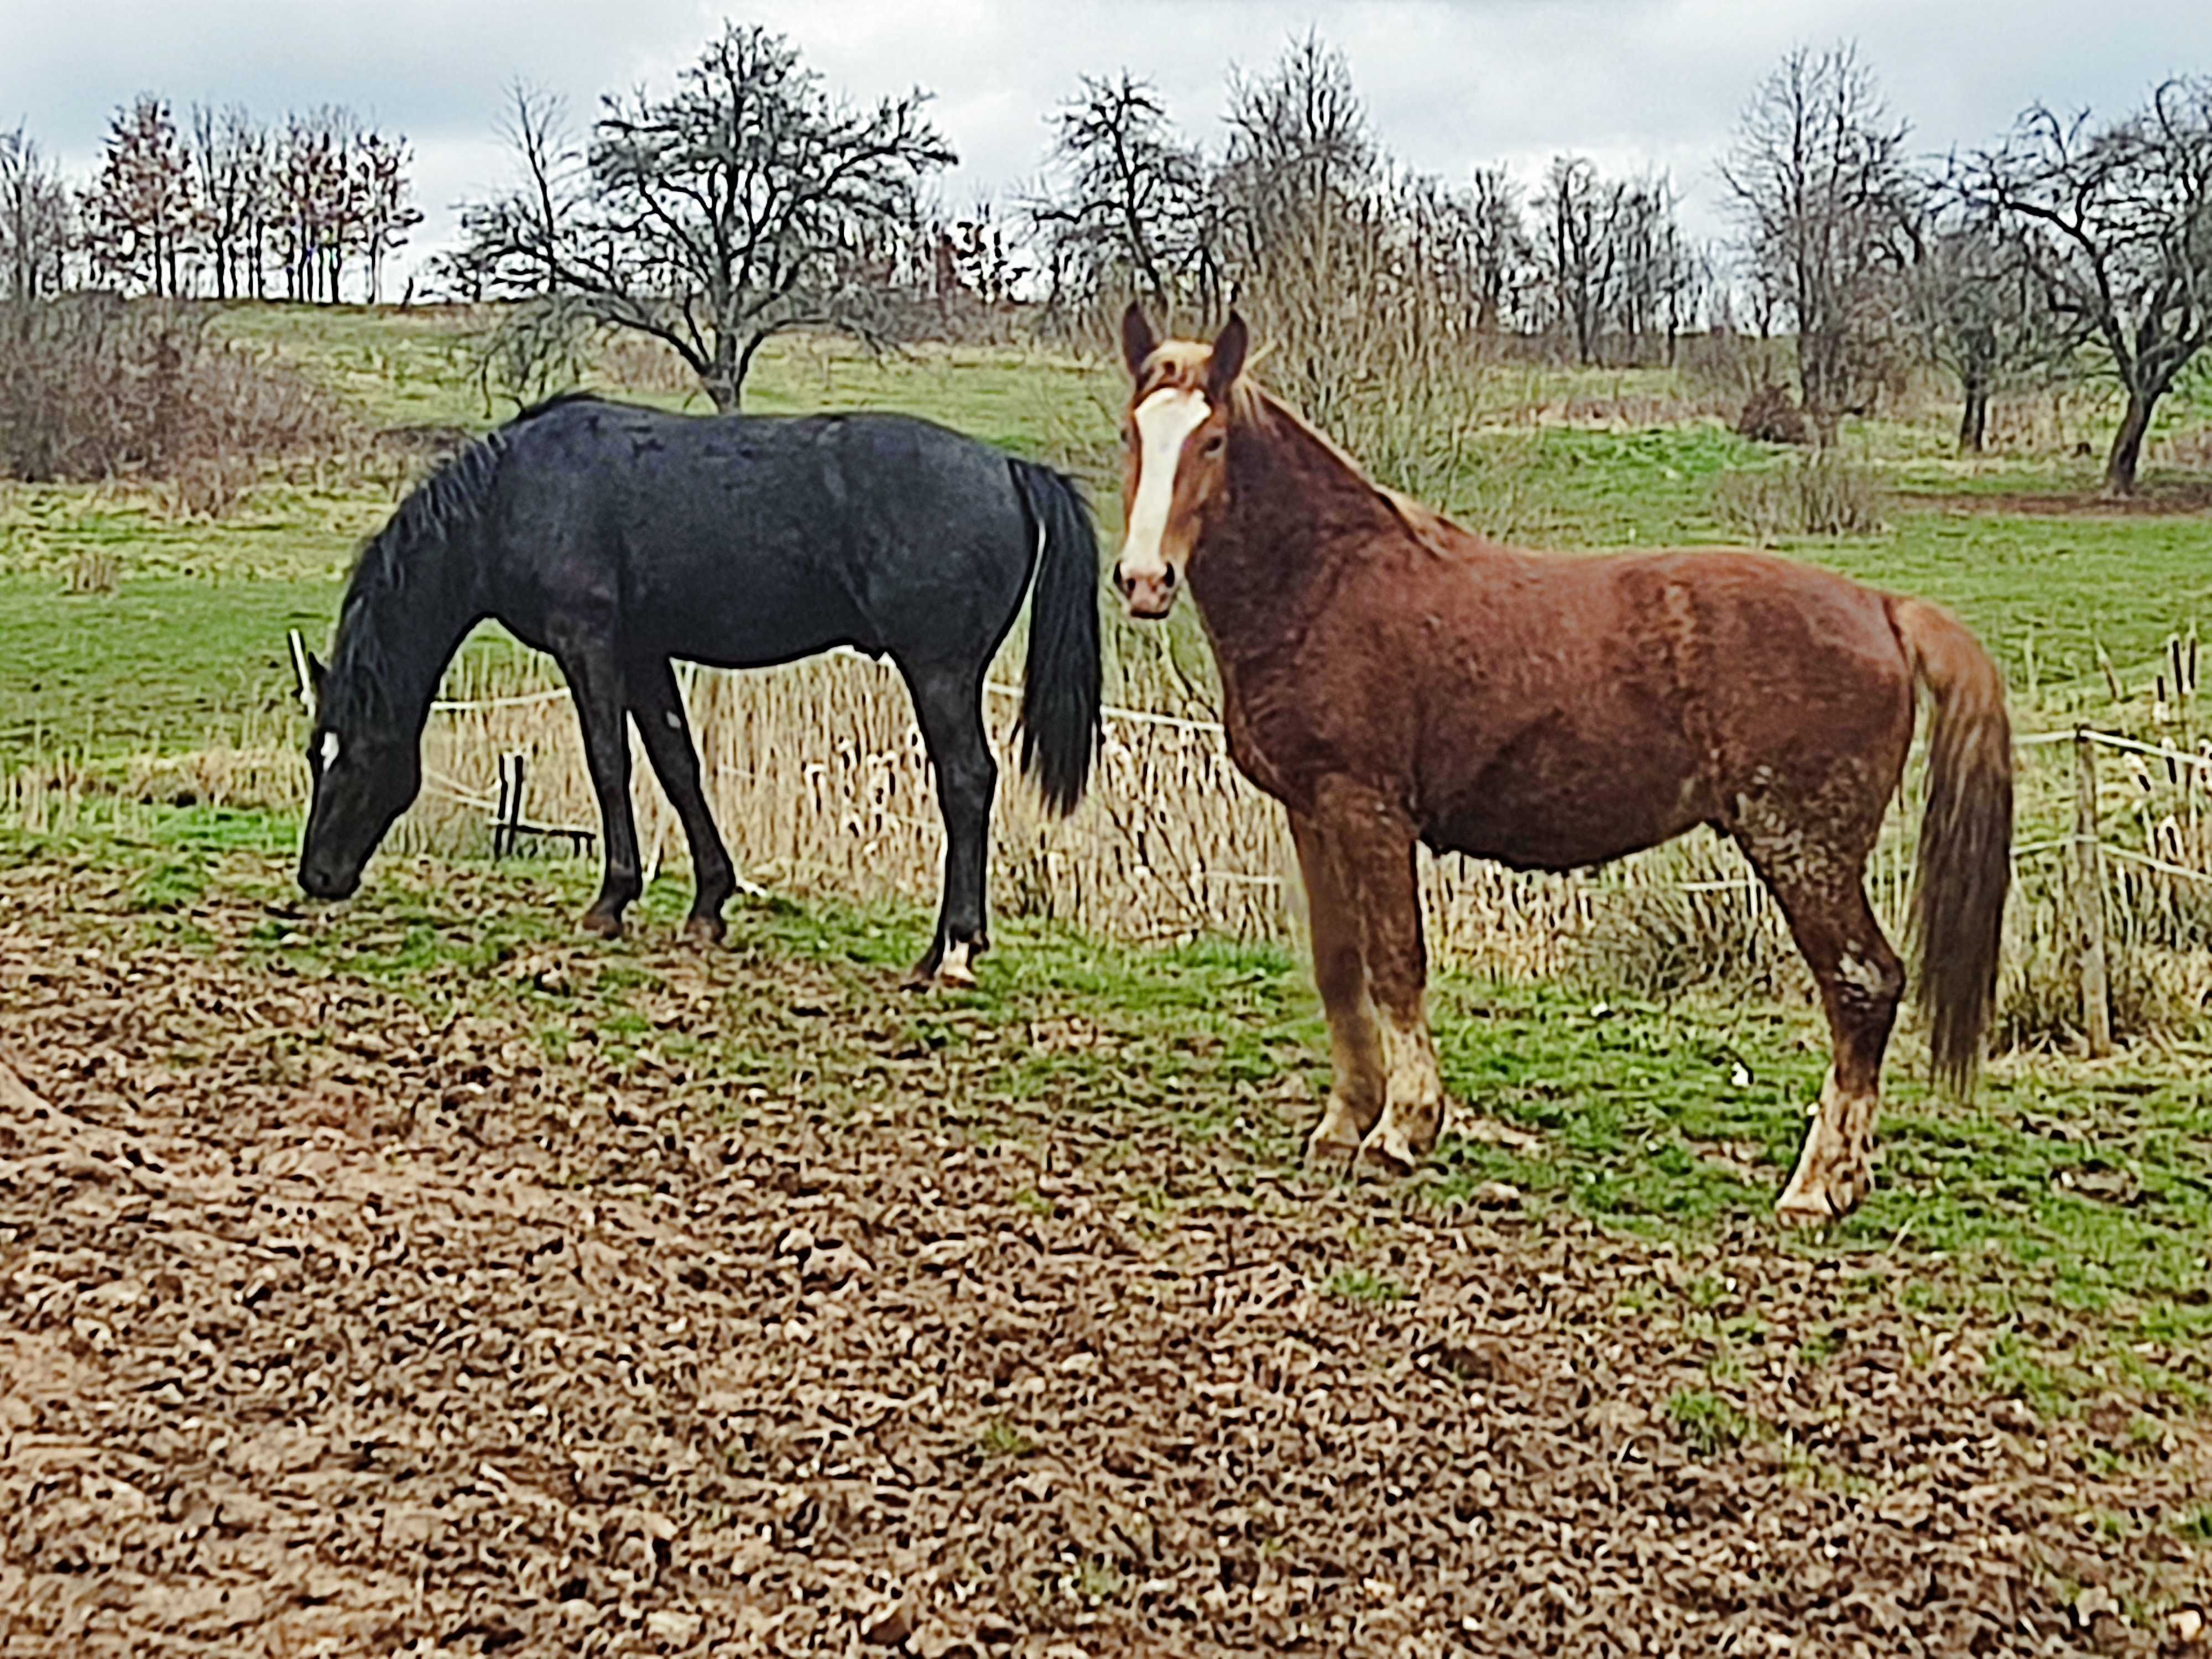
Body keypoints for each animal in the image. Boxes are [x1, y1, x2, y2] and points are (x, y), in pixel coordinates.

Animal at [303, 394, 1106, 982]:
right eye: (318, 754)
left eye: (354, 756)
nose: (316, 877)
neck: (515, 494)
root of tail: (1008, 466)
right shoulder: (643, 654)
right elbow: (678, 765)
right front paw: (708, 905)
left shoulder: (589, 643)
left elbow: (609, 763)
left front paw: (610, 901)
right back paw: (942, 947)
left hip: (939, 671)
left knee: (966, 782)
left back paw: (955, 950)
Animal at [1115, 305, 2017, 1230]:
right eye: (1132, 433)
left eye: (1214, 440)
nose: (1144, 580)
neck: (1329, 583)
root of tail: (1881, 607)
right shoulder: (1312, 810)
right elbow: (1340, 968)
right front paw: (1343, 1124)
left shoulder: (1369, 808)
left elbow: (1396, 963)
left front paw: (1401, 1130)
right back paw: (1844, 1178)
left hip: (1802, 848)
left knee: (1863, 983)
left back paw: (1815, 1186)